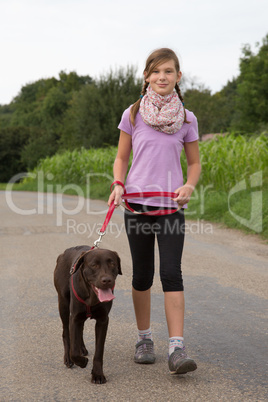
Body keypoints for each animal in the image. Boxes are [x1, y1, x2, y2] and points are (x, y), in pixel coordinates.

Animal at [53, 245, 121, 384]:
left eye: (112, 263)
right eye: (94, 265)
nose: (107, 280)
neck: (92, 297)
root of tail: (64, 252)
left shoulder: (103, 320)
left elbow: (99, 351)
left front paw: (98, 374)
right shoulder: (74, 318)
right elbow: (74, 351)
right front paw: (81, 362)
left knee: (80, 330)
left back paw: (82, 348)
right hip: (63, 303)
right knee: (66, 332)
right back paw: (68, 358)